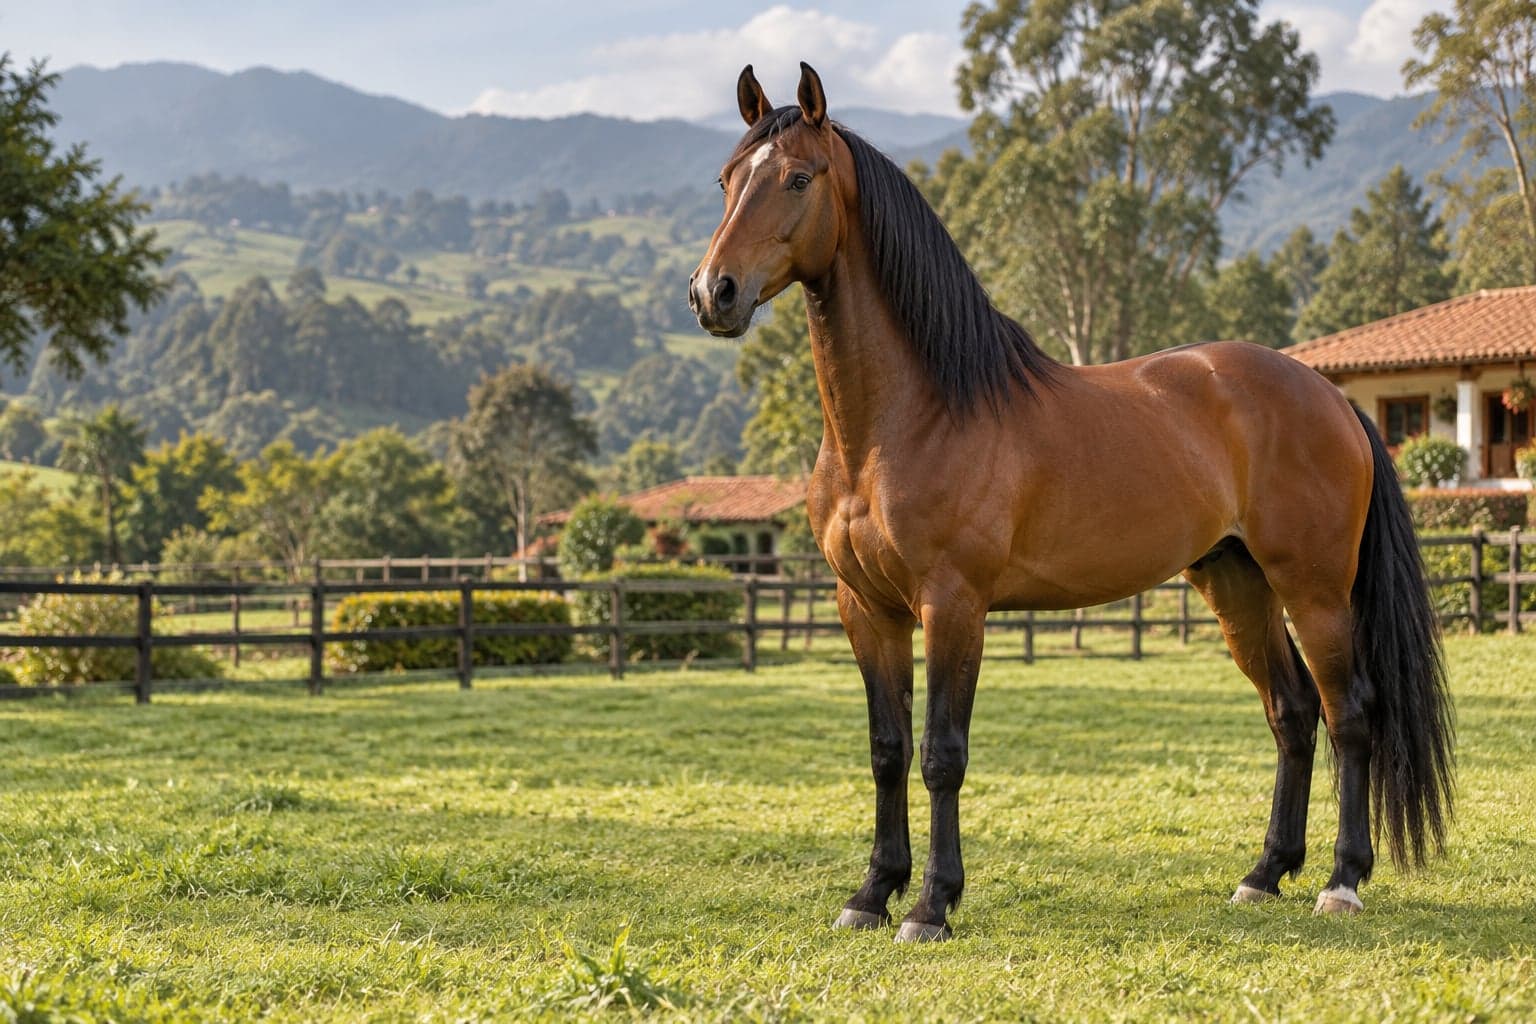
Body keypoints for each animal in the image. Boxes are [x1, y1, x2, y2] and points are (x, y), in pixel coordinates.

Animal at [689, 63, 1453, 942]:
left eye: (798, 178)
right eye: (727, 180)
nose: (713, 293)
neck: (906, 417)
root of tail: (1331, 396)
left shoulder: (953, 605)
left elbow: (941, 754)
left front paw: (931, 905)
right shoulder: (865, 608)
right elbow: (886, 750)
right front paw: (871, 894)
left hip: (1315, 589)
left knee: (1350, 713)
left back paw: (1343, 880)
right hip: (1237, 583)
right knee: (1292, 713)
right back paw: (1264, 875)